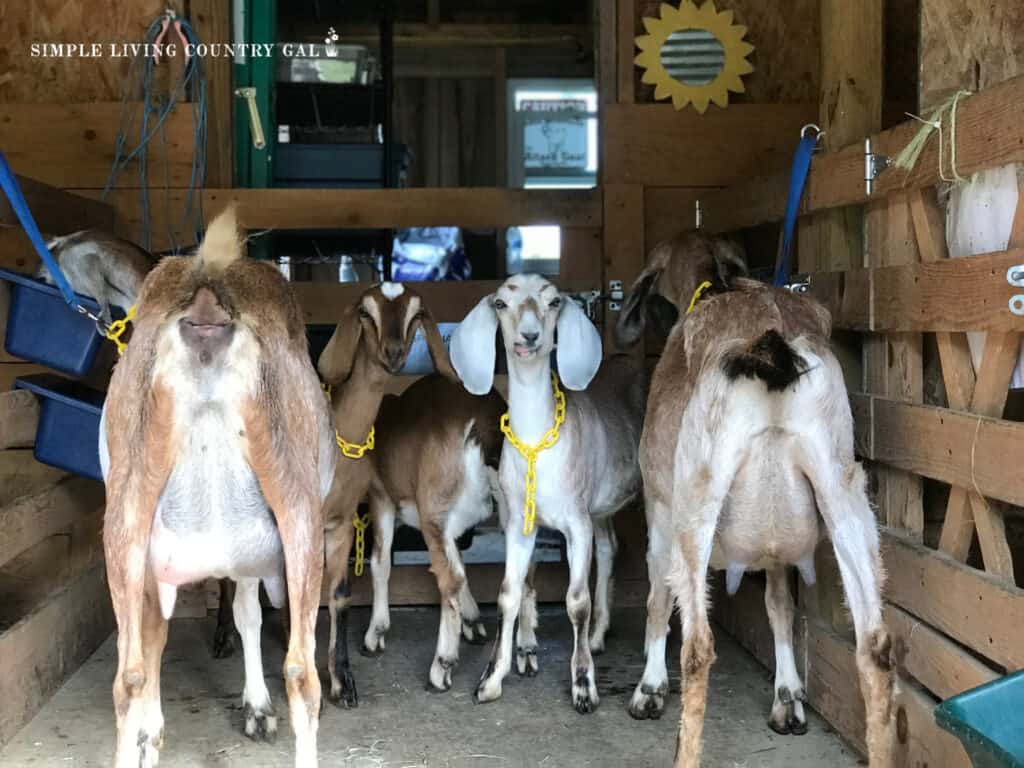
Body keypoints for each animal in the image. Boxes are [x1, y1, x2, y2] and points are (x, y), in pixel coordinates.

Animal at [98, 205, 331, 768]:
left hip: (125, 517)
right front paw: (256, 709)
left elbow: (158, 639)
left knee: (128, 675)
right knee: (302, 672)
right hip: (301, 512)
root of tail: (207, 296)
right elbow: (246, 614)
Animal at [313, 280, 454, 708]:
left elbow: (339, 595)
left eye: (416, 313)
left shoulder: (341, 522)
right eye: (365, 312)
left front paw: (342, 682)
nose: (393, 353)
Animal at [368, 372, 512, 692]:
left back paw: (441, 666)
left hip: (433, 511)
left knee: (450, 580)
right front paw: (473, 622)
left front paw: (375, 634)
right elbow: (460, 561)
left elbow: (380, 562)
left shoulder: (382, 496)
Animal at [450, 276, 647, 716]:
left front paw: (583, 686)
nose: (529, 336)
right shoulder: (518, 526)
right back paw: (597, 637)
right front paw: (491, 679)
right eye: (501, 303)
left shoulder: (575, 522)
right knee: (609, 547)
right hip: (600, 505)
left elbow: (576, 600)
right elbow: (508, 594)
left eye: (554, 301)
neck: (537, 444)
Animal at [610, 234, 892, 768]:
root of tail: (770, 344)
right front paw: (788, 698)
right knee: (875, 645)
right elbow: (780, 604)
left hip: (698, 497)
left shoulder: (659, 511)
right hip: (842, 489)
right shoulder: (777, 550)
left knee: (698, 646)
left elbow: (657, 597)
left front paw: (648, 689)